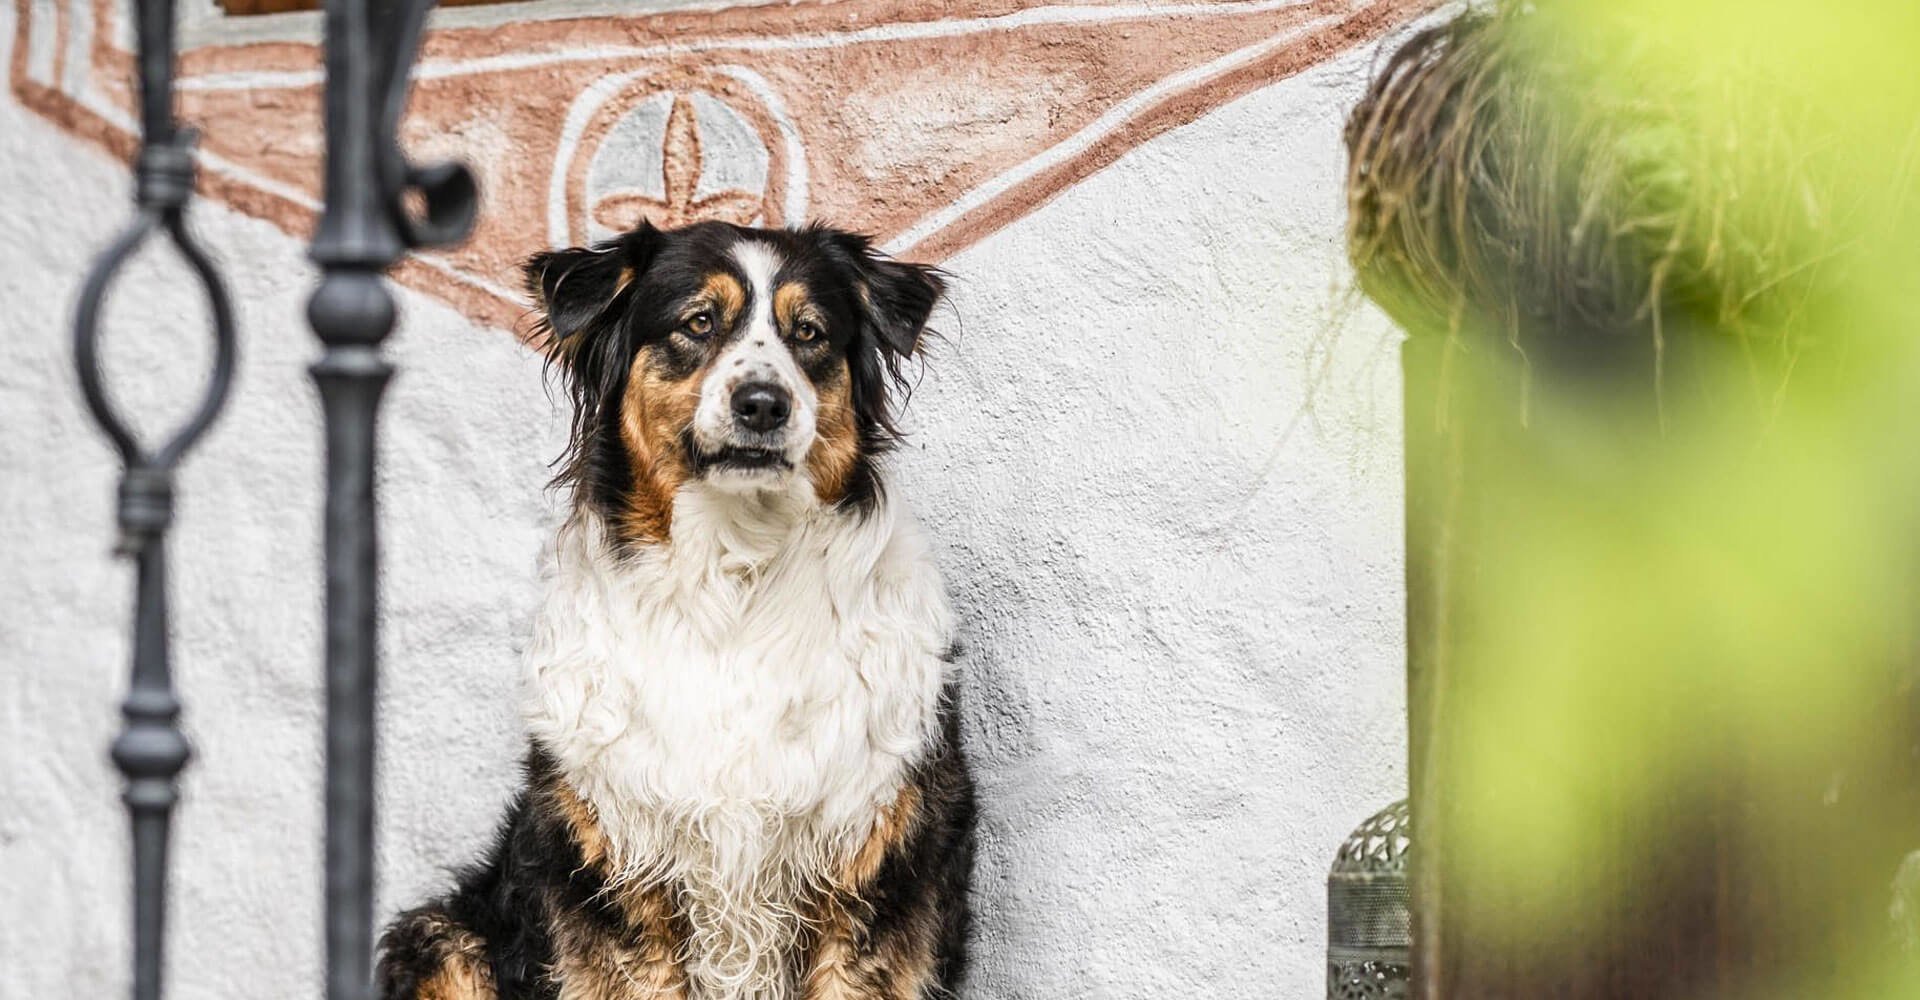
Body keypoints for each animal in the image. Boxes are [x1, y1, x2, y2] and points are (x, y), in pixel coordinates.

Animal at [374, 222, 975, 990]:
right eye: (698, 323)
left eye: (809, 333)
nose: (763, 403)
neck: (733, 580)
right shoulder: (611, 867)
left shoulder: (877, 861)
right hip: (441, 937)